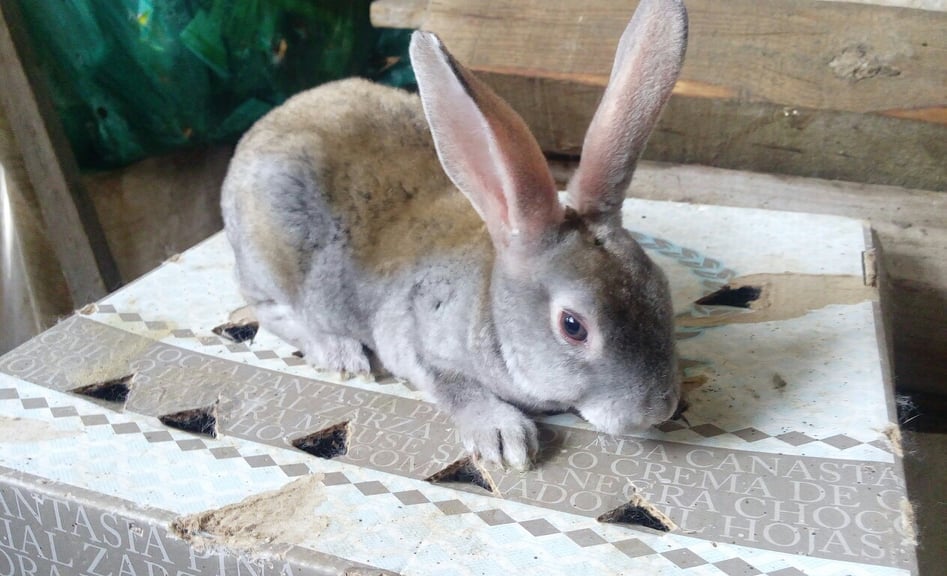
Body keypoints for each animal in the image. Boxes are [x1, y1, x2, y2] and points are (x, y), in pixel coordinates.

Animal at [221, 0, 687, 470]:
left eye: (660, 285)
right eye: (573, 326)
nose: (657, 409)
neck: (488, 304)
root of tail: (260, 128)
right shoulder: (417, 342)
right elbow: (455, 388)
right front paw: (503, 436)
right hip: (270, 257)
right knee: (270, 310)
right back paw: (340, 353)